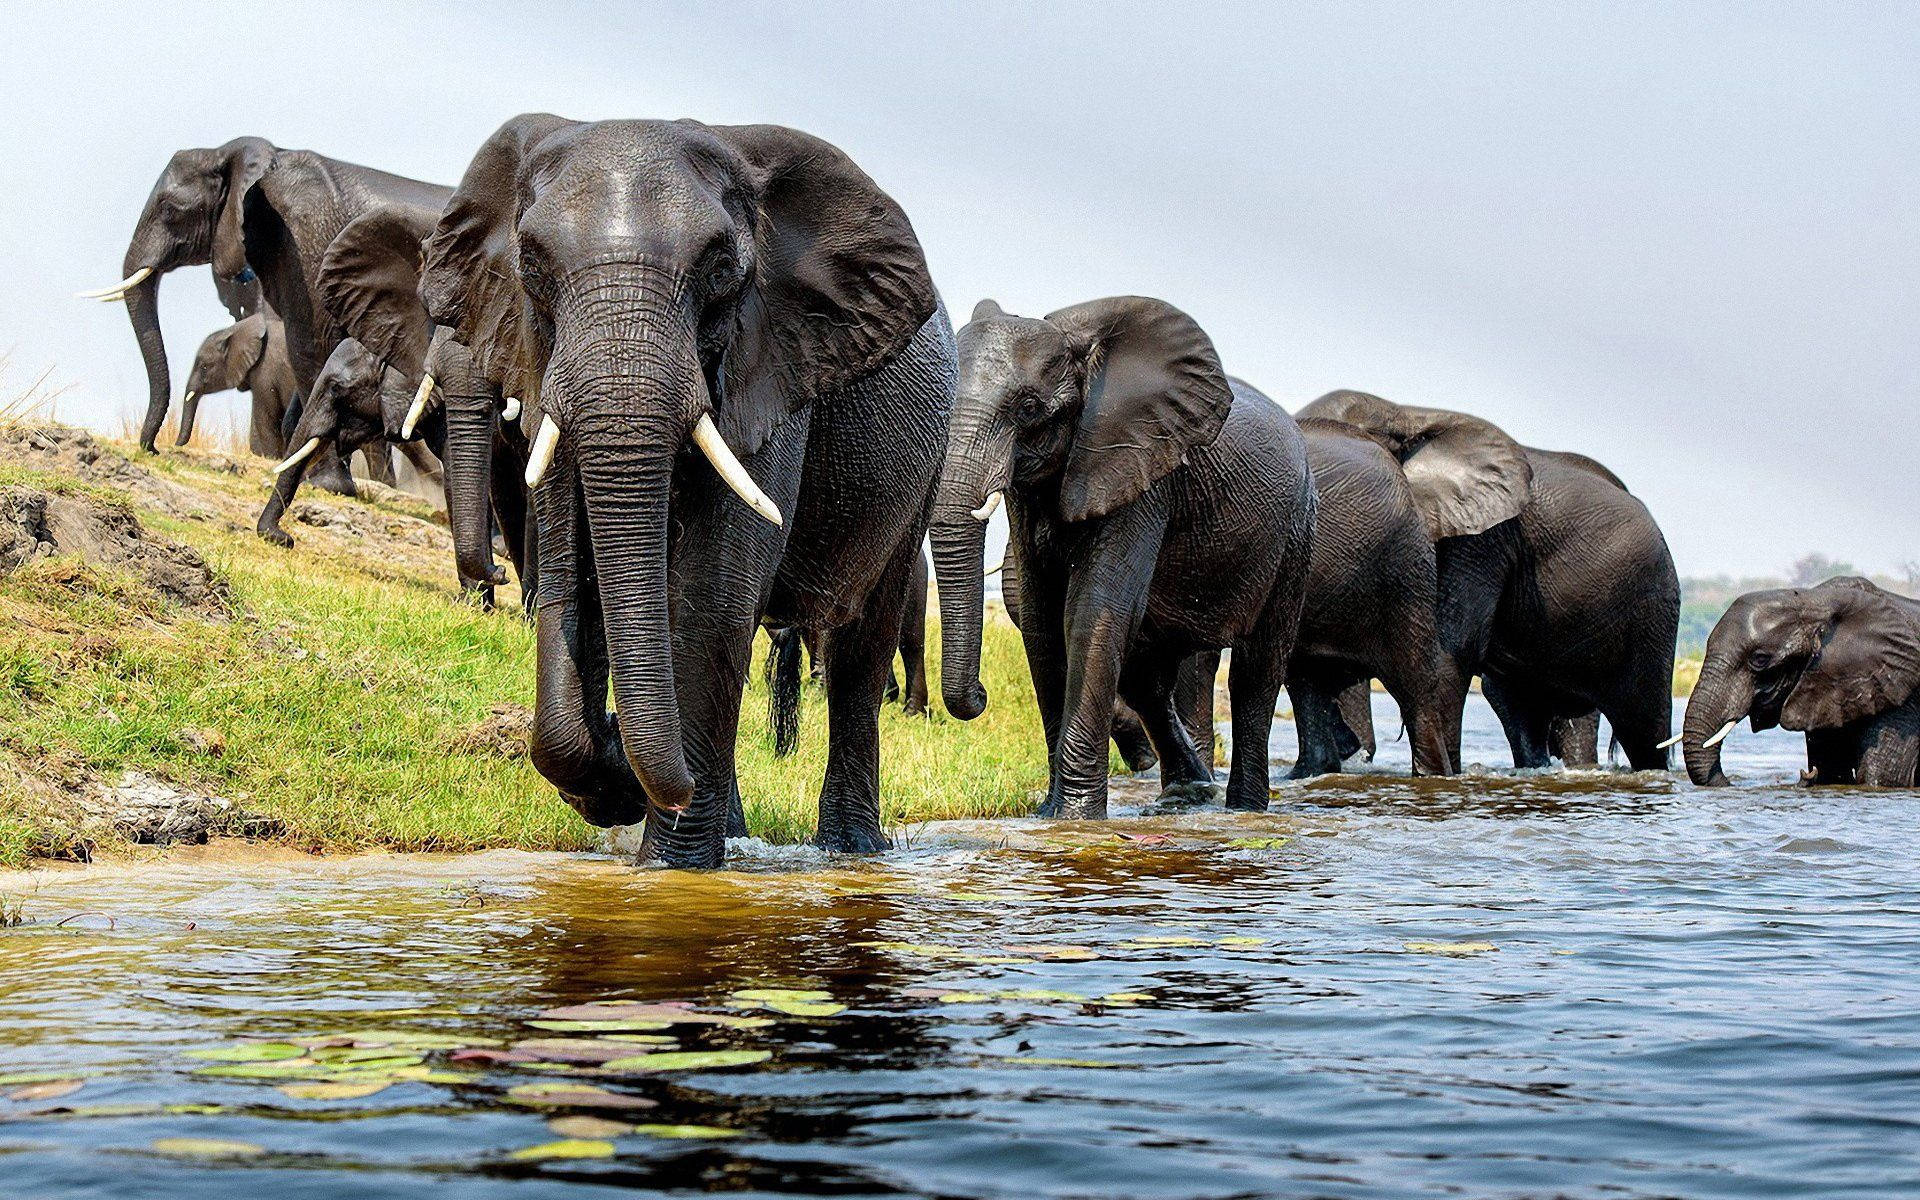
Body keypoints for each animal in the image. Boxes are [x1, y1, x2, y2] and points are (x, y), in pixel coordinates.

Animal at [180, 309, 295, 458]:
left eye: (204, 367)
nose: (177, 445)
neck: (234, 330)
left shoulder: (264, 371)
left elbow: (267, 419)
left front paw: (273, 459)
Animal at [424, 114, 956, 860]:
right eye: (531, 264)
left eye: (721, 267)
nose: (626, 753)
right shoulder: (541, 361)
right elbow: (570, 579)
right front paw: (614, 782)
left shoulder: (771, 364)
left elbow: (709, 600)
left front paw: (667, 861)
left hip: (924, 468)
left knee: (861, 648)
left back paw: (849, 850)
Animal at [929, 295, 1320, 814]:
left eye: (1030, 408)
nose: (979, 695)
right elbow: (1041, 621)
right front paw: (1049, 813)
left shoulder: (1143, 472)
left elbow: (1093, 611)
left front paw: (1074, 816)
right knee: (1147, 678)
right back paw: (1190, 790)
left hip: (1295, 533)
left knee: (1256, 670)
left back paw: (1244, 807)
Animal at [1681, 579, 1920, 787]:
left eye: (1760, 659)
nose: (1807, 773)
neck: (1817, 600)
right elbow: (1833, 768)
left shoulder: (1902, 691)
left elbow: (1882, 776)